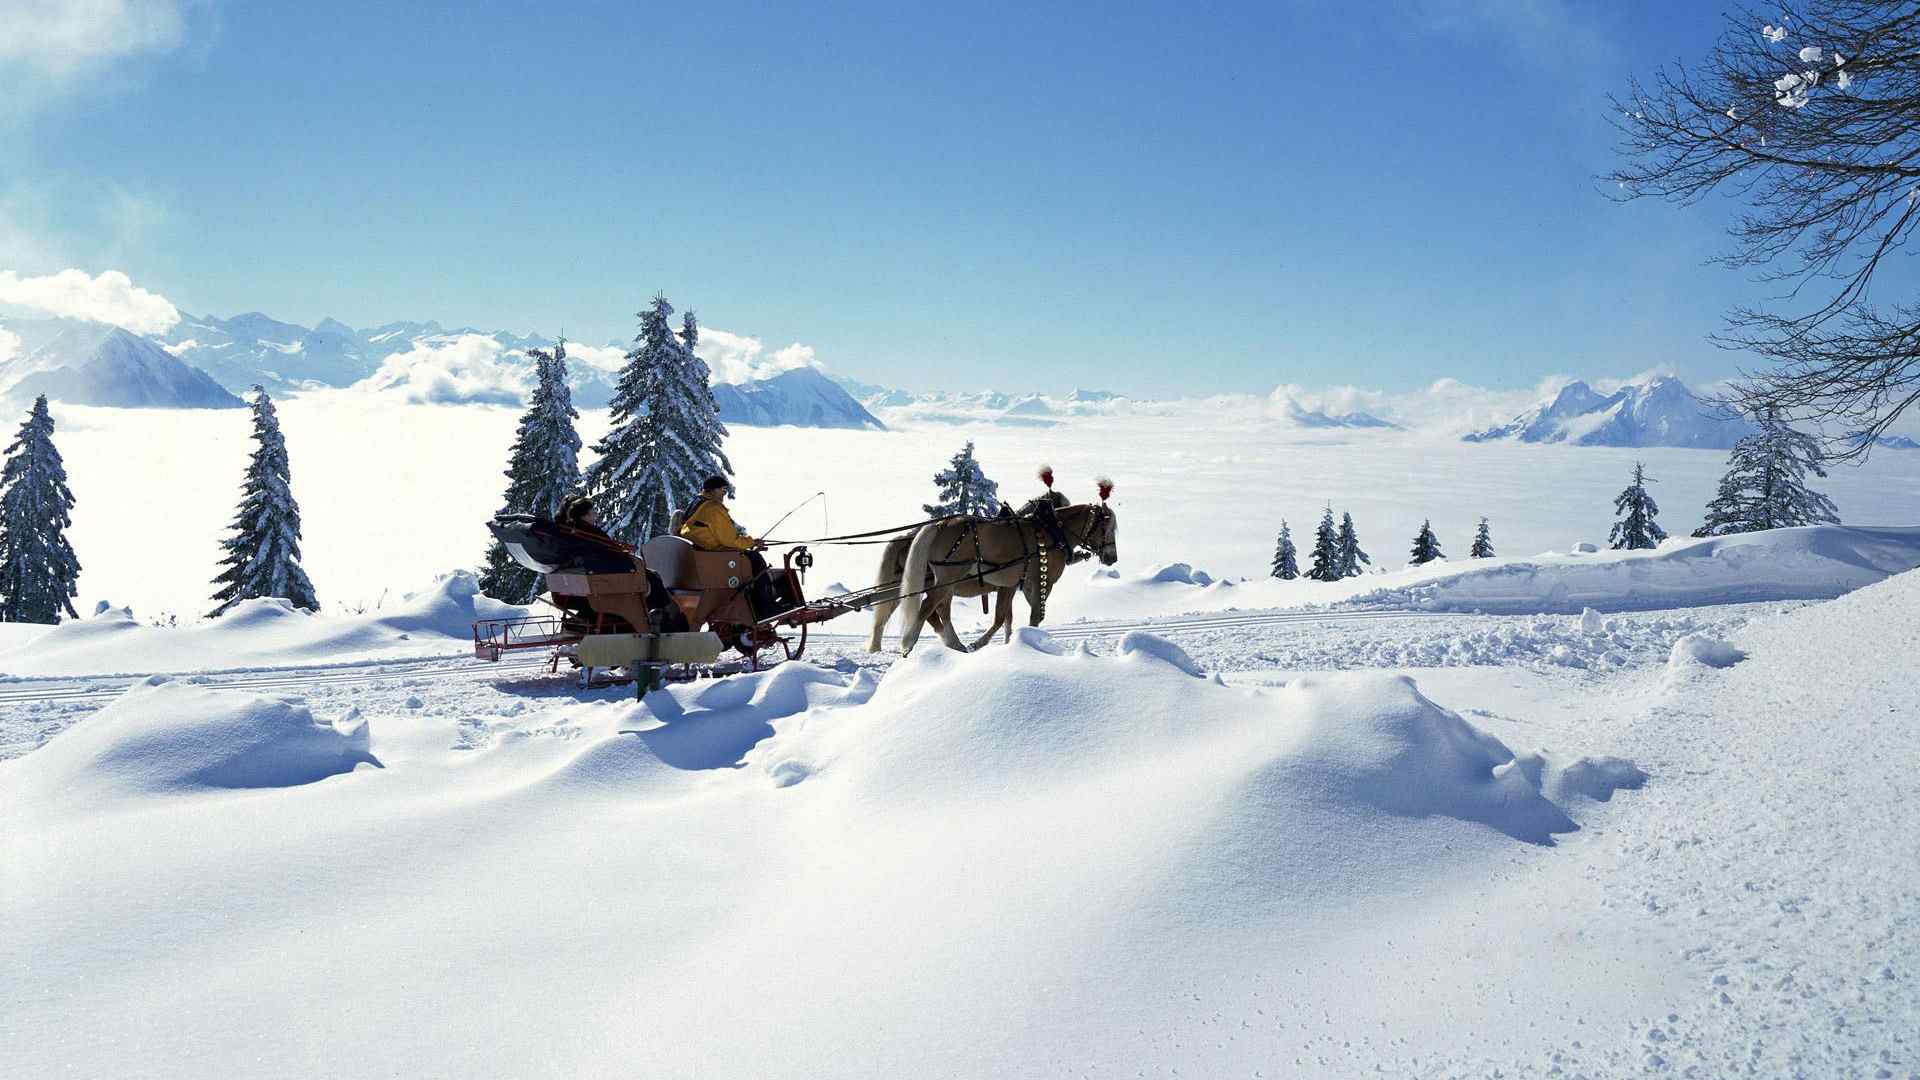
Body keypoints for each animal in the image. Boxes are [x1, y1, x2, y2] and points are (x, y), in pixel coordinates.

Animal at [898, 491, 1121, 653]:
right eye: (1106, 528)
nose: (1112, 557)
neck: (1052, 532)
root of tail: (940, 524)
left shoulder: (1013, 585)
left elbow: (1006, 618)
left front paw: (1011, 643)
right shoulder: (1042, 583)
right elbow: (1032, 616)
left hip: (948, 583)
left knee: (941, 610)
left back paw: (954, 644)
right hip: (948, 578)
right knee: (928, 607)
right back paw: (908, 644)